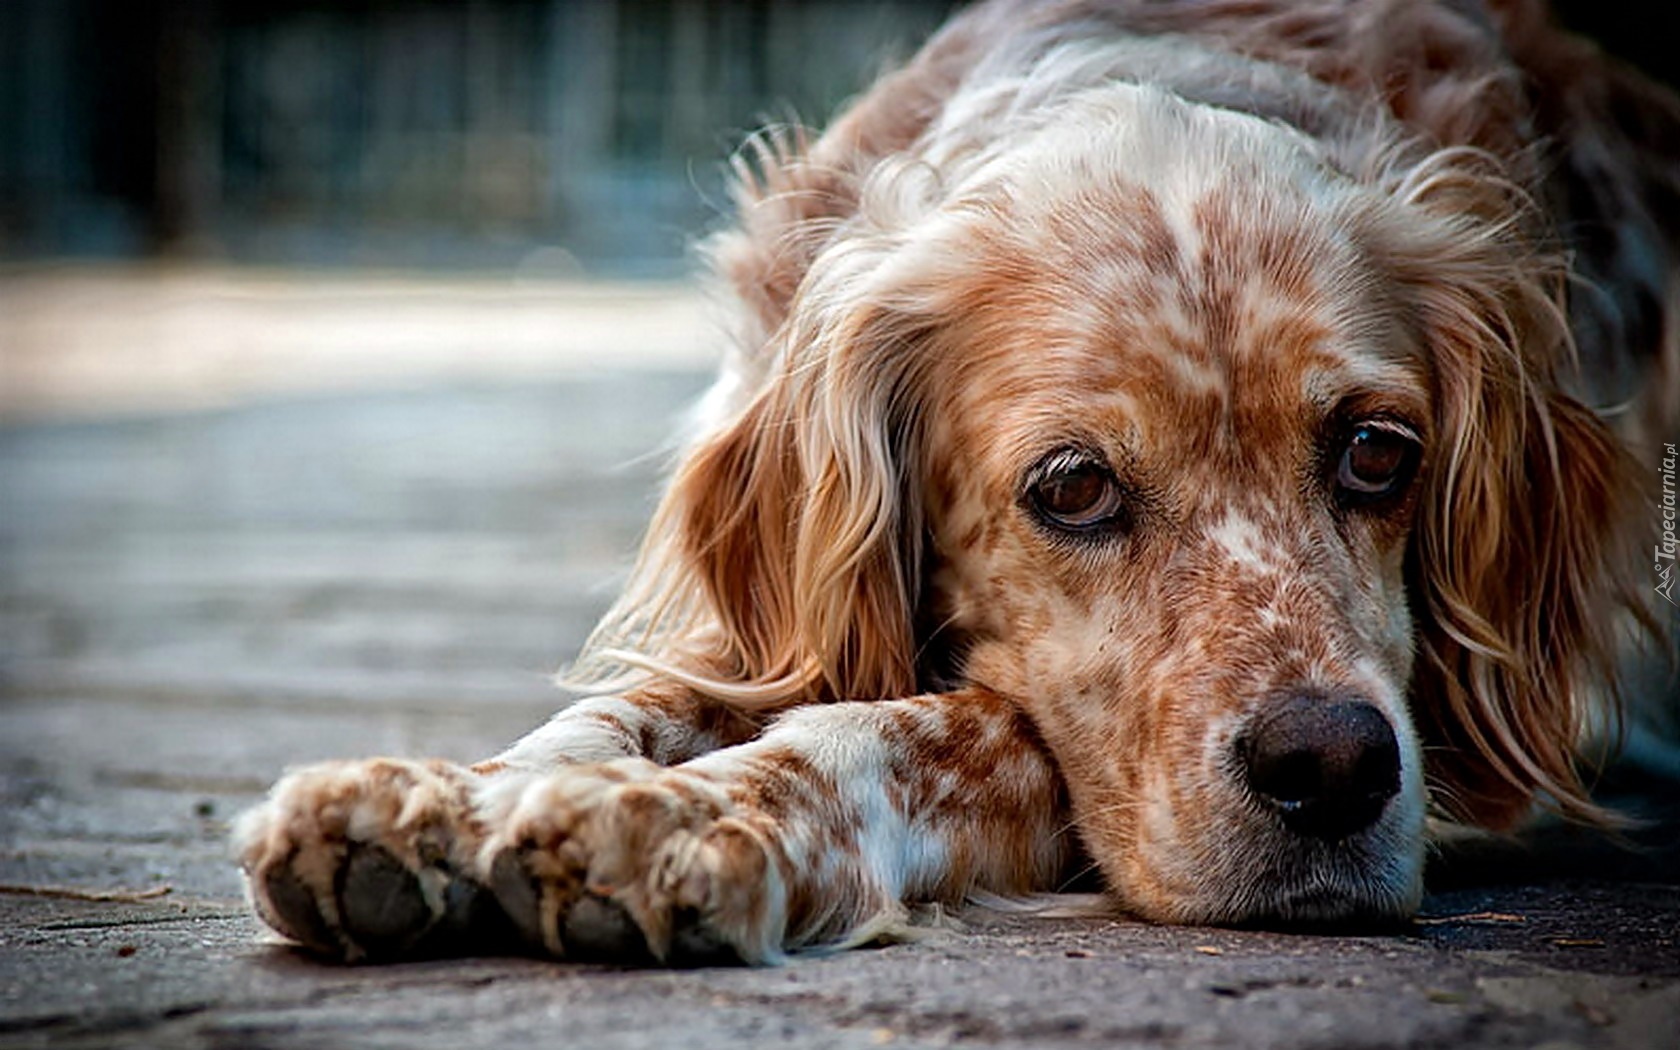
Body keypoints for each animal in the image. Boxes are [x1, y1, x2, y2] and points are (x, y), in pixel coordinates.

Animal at [236, 0, 1680, 960]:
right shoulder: (770, 618)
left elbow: (940, 730)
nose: (1331, 769)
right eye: (1074, 488)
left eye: (1380, 453)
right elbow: (625, 707)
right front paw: (437, 799)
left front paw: (689, 814)